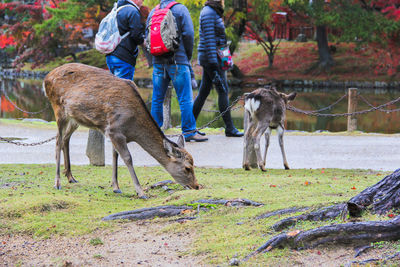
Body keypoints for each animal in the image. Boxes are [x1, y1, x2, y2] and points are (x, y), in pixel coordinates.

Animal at [43, 63, 200, 199]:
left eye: (193, 164)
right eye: (187, 168)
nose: (196, 186)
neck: (134, 128)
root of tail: (46, 78)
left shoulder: (115, 134)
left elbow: (115, 156)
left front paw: (116, 187)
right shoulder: (115, 130)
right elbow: (127, 158)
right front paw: (141, 192)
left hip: (75, 119)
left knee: (65, 139)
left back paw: (71, 177)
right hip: (58, 109)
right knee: (58, 140)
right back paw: (57, 183)